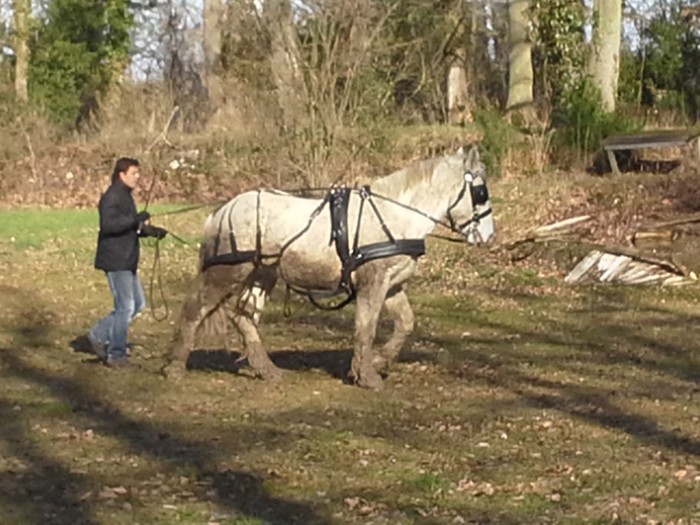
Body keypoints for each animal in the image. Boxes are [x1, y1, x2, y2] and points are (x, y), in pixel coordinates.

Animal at [161, 145, 494, 386]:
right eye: (480, 191)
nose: (489, 236)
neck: (393, 216)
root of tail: (223, 209)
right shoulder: (373, 283)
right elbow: (366, 328)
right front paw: (367, 376)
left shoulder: (392, 284)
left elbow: (405, 324)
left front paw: (378, 361)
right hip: (228, 272)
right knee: (195, 310)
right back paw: (175, 367)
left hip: (262, 274)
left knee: (244, 317)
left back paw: (268, 370)